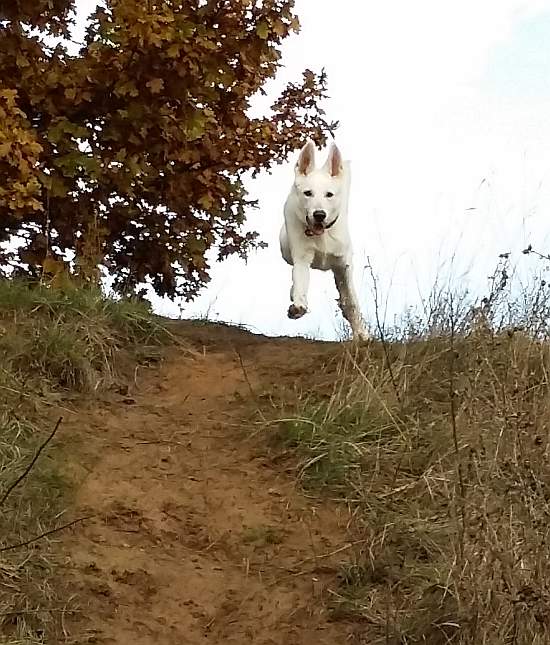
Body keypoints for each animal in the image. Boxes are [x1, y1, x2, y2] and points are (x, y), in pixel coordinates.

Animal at [282, 139, 368, 340]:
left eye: (329, 194)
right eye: (308, 193)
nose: (319, 215)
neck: (321, 235)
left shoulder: (343, 266)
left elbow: (351, 301)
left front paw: (362, 334)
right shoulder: (301, 257)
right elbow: (300, 278)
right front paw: (298, 304)